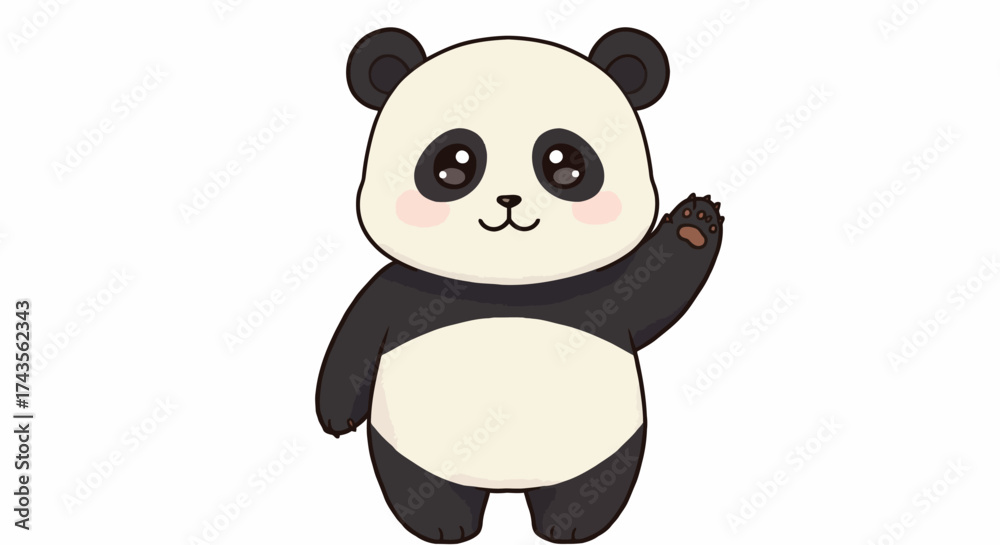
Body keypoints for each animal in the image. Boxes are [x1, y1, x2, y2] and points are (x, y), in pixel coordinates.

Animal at [316, 27, 723, 543]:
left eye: (565, 164)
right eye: (452, 164)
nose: (508, 200)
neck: (508, 284)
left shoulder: (599, 292)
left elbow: (652, 288)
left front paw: (694, 224)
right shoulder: (401, 292)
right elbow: (358, 334)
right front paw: (335, 417)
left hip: (602, 444)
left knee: (595, 480)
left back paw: (568, 524)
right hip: (409, 441)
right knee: (415, 479)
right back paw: (444, 524)